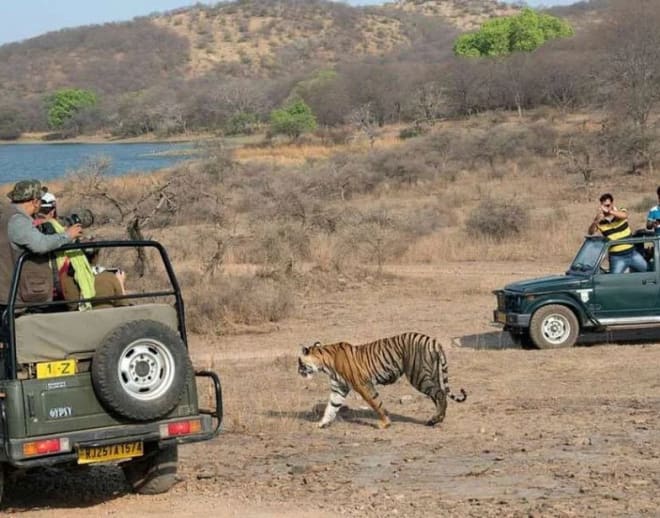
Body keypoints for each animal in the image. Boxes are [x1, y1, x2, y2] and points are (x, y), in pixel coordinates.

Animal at [296, 334, 466, 430]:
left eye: (299, 362)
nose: (298, 371)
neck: (325, 363)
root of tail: (432, 340)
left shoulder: (362, 384)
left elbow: (376, 403)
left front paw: (385, 423)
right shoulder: (339, 388)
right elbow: (331, 407)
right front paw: (321, 424)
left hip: (418, 376)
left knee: (440, 394)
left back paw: (436, 419)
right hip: (431, 375)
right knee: (439, 395)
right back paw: (435, 419)